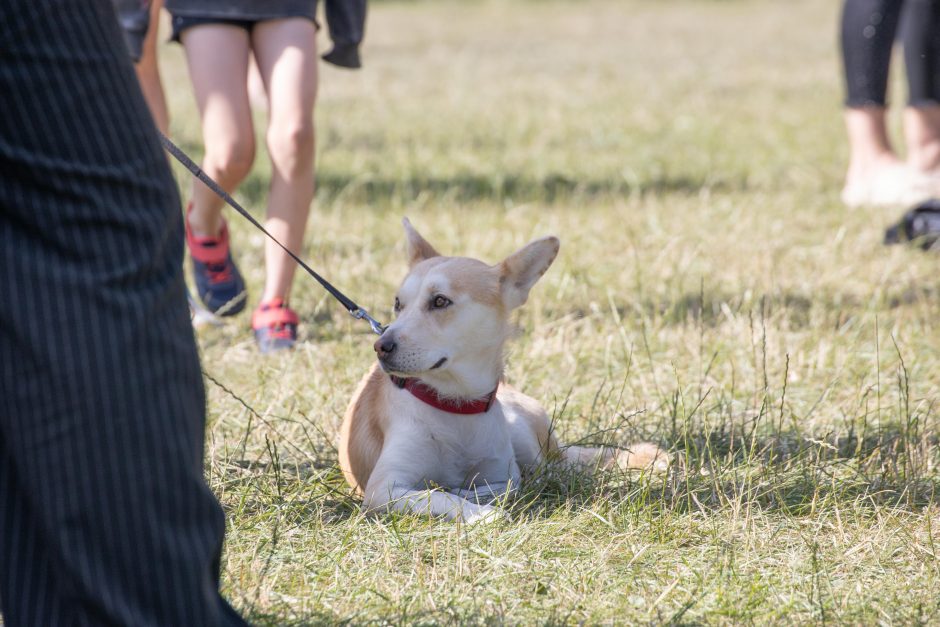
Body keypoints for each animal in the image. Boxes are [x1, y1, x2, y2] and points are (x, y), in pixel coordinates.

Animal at [338, 218, 668, 524]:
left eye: (440, 301)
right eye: (398, 304)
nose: (381, 345)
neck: (455, 404)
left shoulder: (503, 471)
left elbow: (508, 485)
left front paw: (471, 494)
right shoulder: (385, 490)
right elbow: (440, 495)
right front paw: (479, 512)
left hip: (523, 434)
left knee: (554, 469)